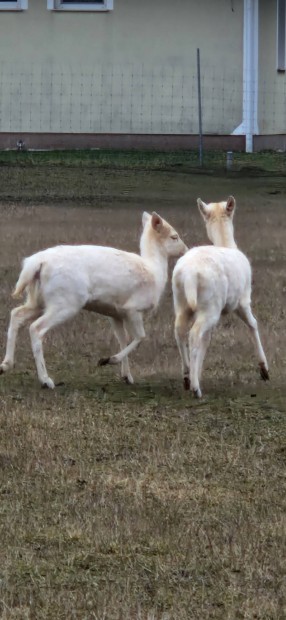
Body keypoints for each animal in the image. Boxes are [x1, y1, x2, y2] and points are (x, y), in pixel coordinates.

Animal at [0, 213, 188, 388]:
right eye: (174, 236)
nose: (185, 250)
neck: (155, 273)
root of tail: (35, 264)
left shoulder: (115, 313)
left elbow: (123, 339)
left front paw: (126, 376)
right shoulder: (133, 308)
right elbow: (140, 337)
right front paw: (107, 360)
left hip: (38, 300)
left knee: (16, 314)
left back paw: (5, 365)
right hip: (66, 301)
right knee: (36, 328)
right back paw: (46, 380)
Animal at [173, 197, 270, 398]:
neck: (227, 243)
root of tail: (189, 275)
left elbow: (207, 341)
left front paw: (197, 372)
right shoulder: (242, 300)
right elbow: (253, 324)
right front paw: (264, 371)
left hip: (181, 303)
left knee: (180, 331)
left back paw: (187, 378)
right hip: (210, 307)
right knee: (194, 334)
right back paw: (195, 388)